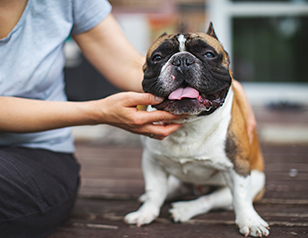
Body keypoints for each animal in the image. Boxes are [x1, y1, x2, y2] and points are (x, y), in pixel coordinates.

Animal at [124, 22, 270, 238]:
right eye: (157, 57)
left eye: (209, 54)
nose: (182, 60)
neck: (189, 123)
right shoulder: (152, 161)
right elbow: (154, 191)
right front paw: (146, 213)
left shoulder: (237, 166)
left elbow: (241, 197)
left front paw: (250, 221)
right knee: (173, 187)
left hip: (255, 181)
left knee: (210, 200)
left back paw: (184, 209)